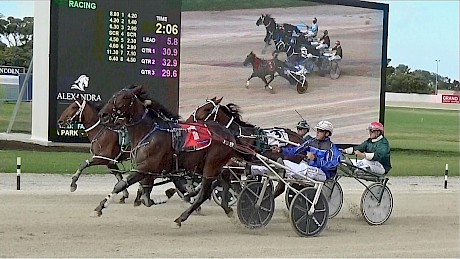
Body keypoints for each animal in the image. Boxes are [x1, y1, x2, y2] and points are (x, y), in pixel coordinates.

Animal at [98, 86, 239, 228]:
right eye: (114, 95)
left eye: (125, 97)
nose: (103, 114)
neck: (148, 133)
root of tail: (229, 134)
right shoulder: (149, 172)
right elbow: (146, 199)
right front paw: (169, 194)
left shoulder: (146, 167)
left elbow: (122, 185)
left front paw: (101, 206)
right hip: (206, 165)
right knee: (224, 179)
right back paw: (227, 209)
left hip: (211, 166)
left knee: (205, 193)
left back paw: (180, 219)